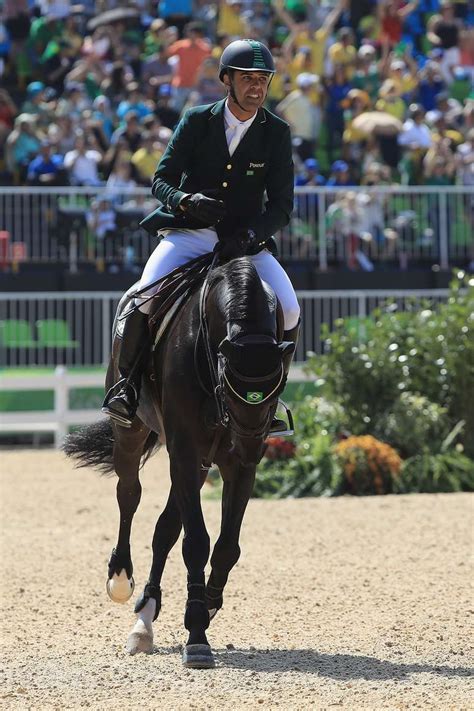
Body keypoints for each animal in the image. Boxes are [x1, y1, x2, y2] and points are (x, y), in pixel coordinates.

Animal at [63, 253, 292, 672]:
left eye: (278, 387)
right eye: (229, 385)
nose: (249, 448)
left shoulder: (232, 465)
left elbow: (226, 546)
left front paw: (208, 603)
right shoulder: (185, 451)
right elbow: (197, 542)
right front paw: (197, 634)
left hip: (203, 464)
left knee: (165, 530)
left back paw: (145, 618)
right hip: (133, 434)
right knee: (129, 495)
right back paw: (121, 580)